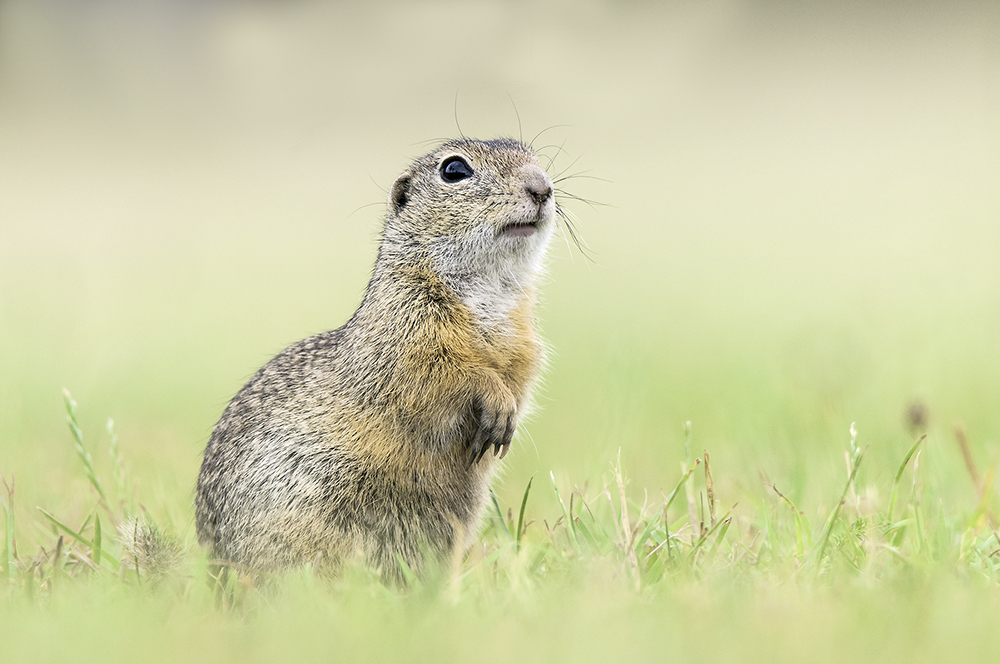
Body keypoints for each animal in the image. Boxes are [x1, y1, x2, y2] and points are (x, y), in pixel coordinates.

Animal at [191, 136, 560, 580]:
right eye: (454, 170)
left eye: (533, 156)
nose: (542, 187)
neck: (491, 290)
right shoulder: (407, 334)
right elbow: (446, 374)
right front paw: (495, 400)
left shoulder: (524, 346)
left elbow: (520, 380)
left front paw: (508, 419)